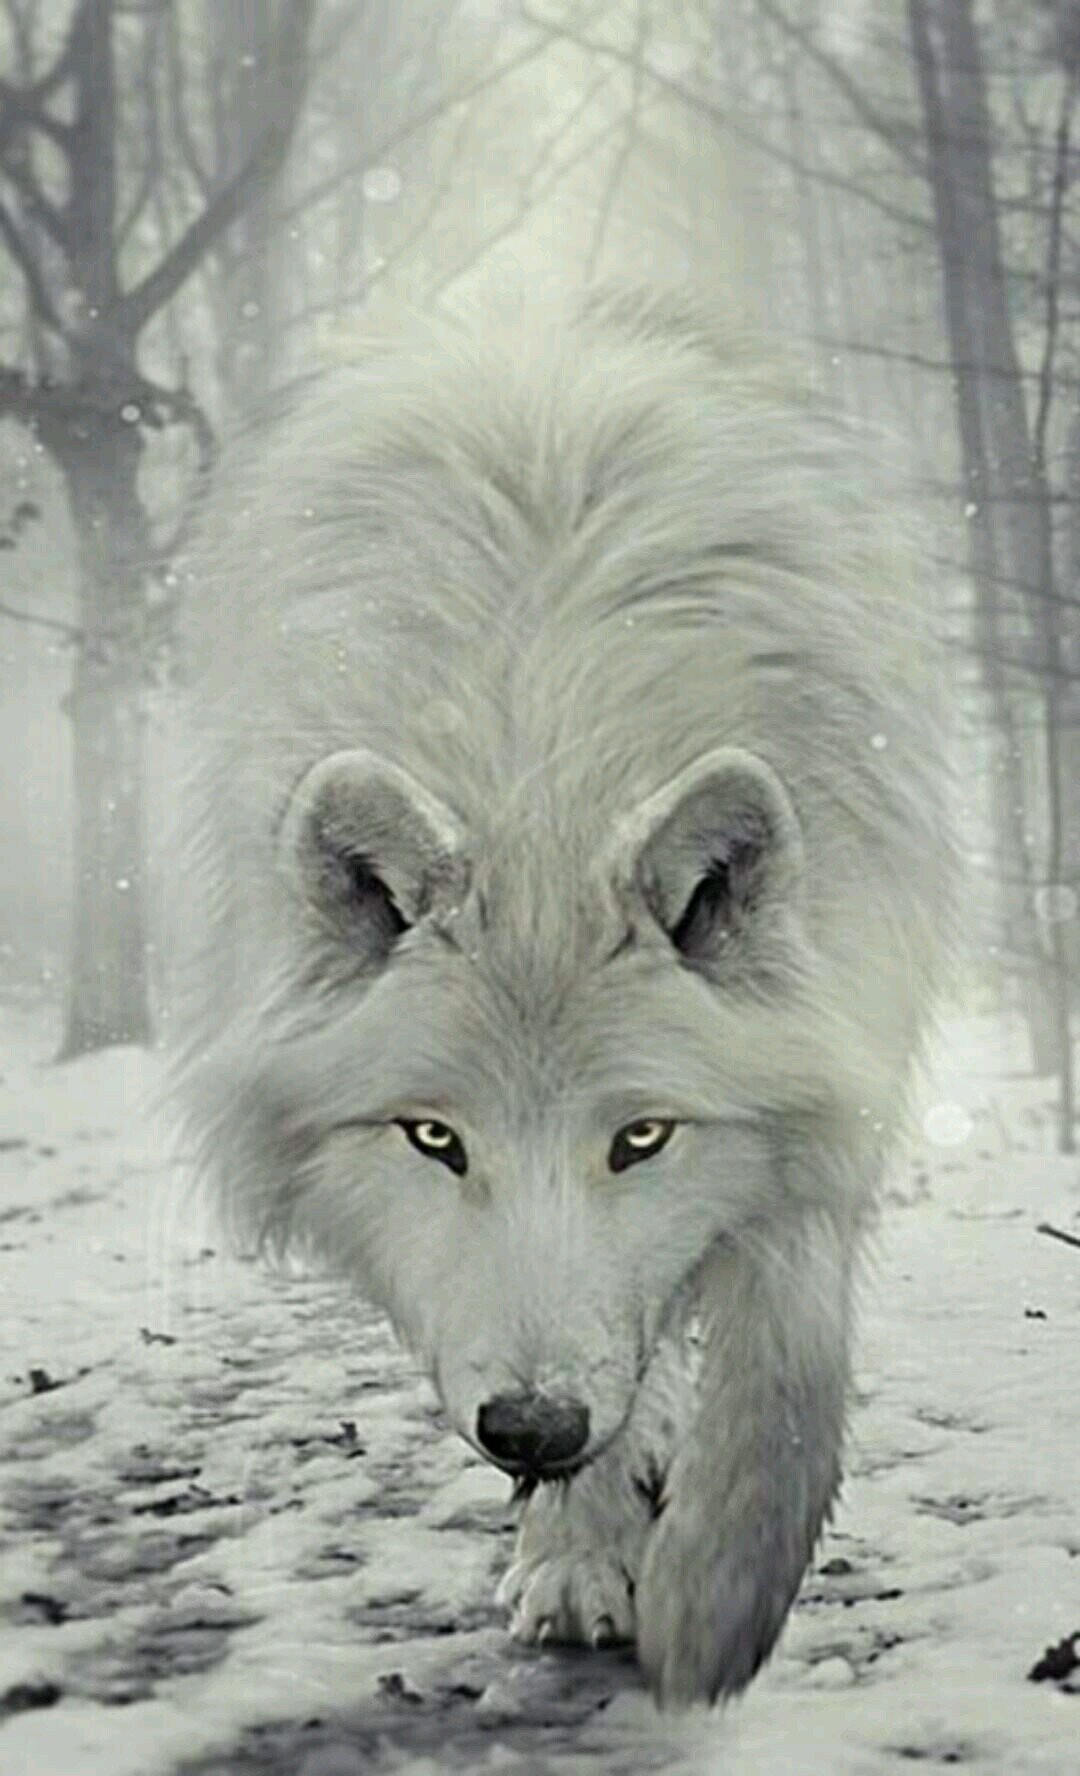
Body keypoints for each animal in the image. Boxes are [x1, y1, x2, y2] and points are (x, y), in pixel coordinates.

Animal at [170, 285, 951, 1708]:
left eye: (640, 1136)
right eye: (435, 1137)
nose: (529, 1429)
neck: (544, 770)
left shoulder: (838, 1049)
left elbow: (788, 1359)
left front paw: (715, 1603)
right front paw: (584, 1553)